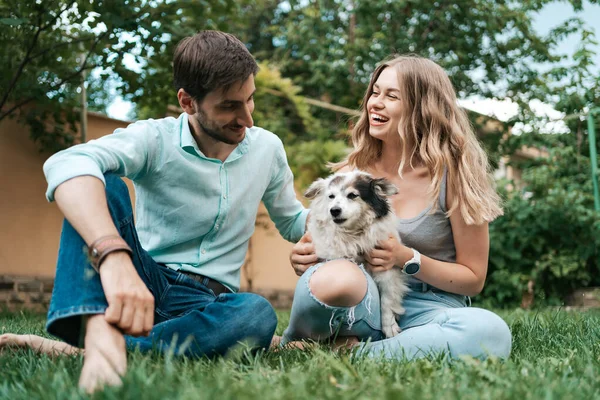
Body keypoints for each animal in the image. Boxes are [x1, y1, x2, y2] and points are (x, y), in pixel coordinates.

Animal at [308, 170, 410, 340]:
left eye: (352, 195)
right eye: (331, 196)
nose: (334, 210)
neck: (353, 235)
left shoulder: (387, 271)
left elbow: (387, 301)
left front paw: (389, 327)